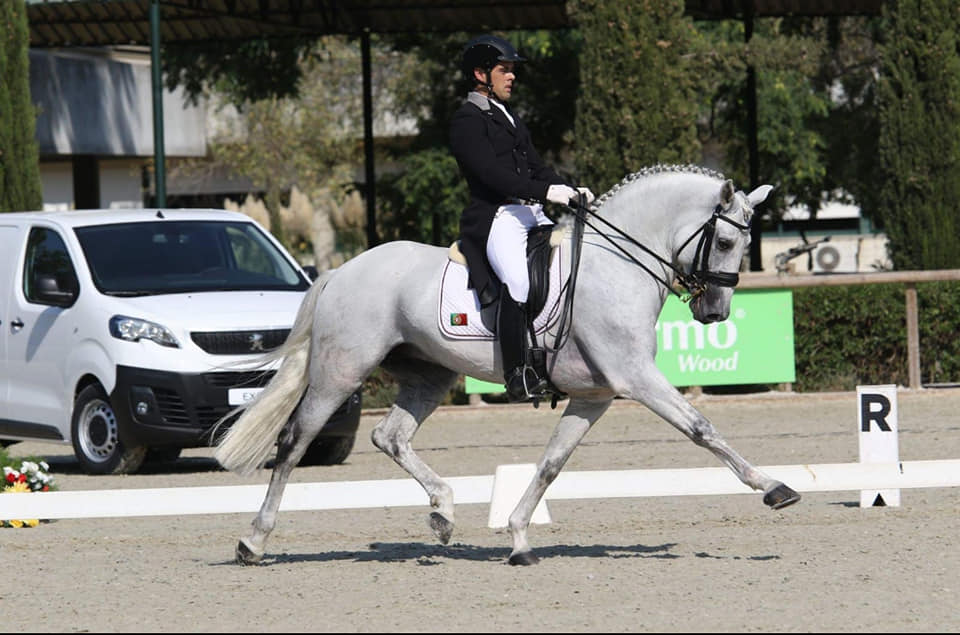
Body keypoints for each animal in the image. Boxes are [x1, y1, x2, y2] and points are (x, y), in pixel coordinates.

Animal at [214, 164, 800, 568]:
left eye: (745, 243)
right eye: (724, 240)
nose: (715, 312)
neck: (616, 268)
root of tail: (340, 271)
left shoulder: (595, 394)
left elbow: (551, 464)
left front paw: (518, 538)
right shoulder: (635, 377)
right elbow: (702, 428)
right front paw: (774, 487)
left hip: (431, 374)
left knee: (390, 436)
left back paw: (443, 512)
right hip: (341, 370)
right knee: (294, 441)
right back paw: (252, 541)